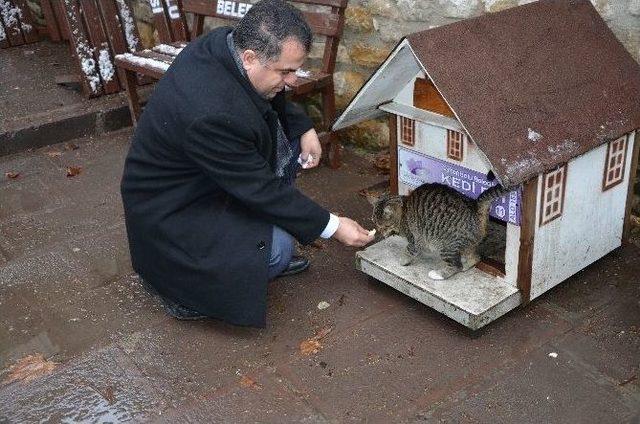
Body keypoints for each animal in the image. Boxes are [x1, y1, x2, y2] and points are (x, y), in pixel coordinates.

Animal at [370, 183, 510, 280]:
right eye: (375, 224)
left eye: (383, 226)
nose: (380, 233)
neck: (403, 211)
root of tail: (474, 206)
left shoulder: (415, 239)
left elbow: (409, 250)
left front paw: (403, 260)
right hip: (467, 244)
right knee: (475, 257)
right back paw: (465, 266)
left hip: (446, 246)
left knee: (455, 265)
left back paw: (438, 275)